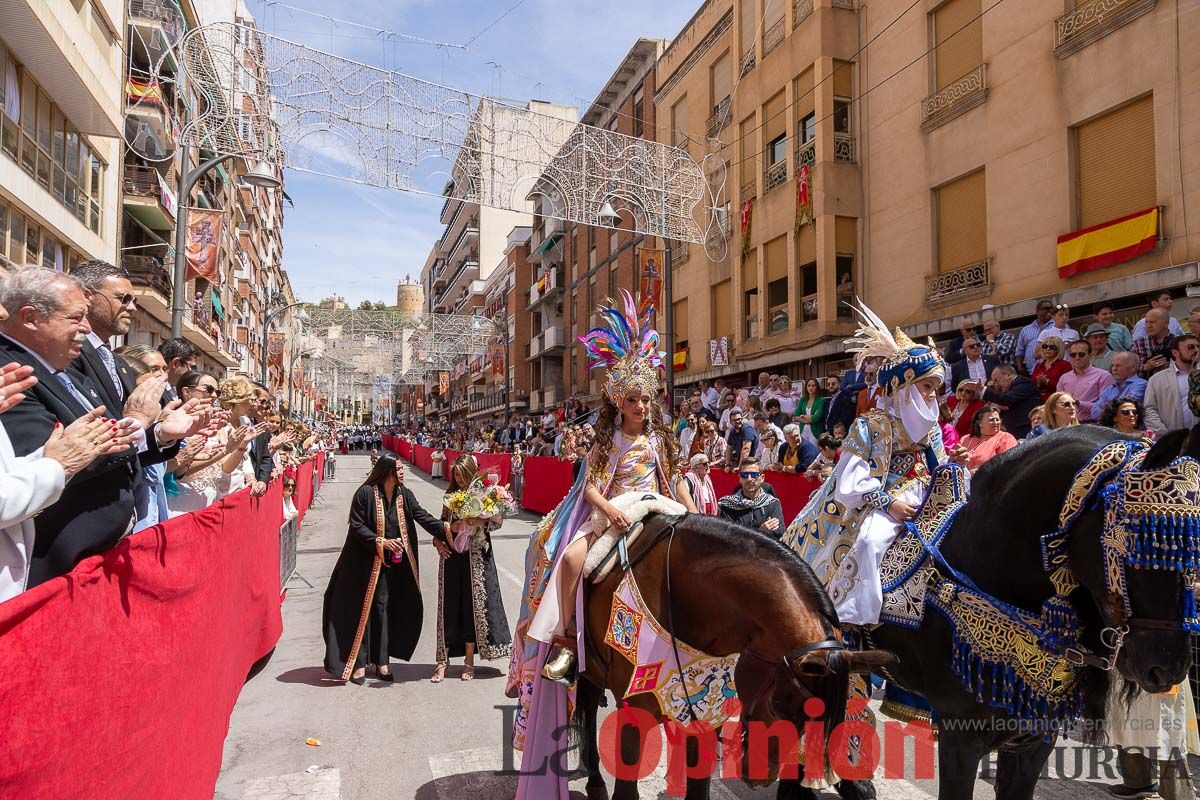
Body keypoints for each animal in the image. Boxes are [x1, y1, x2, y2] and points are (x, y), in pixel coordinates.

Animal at [571, 510, 892, 800]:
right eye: (776, 706)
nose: (762, 777)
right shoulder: (634, 712)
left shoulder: (704, 714)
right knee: (588, 706)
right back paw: (595, 781)